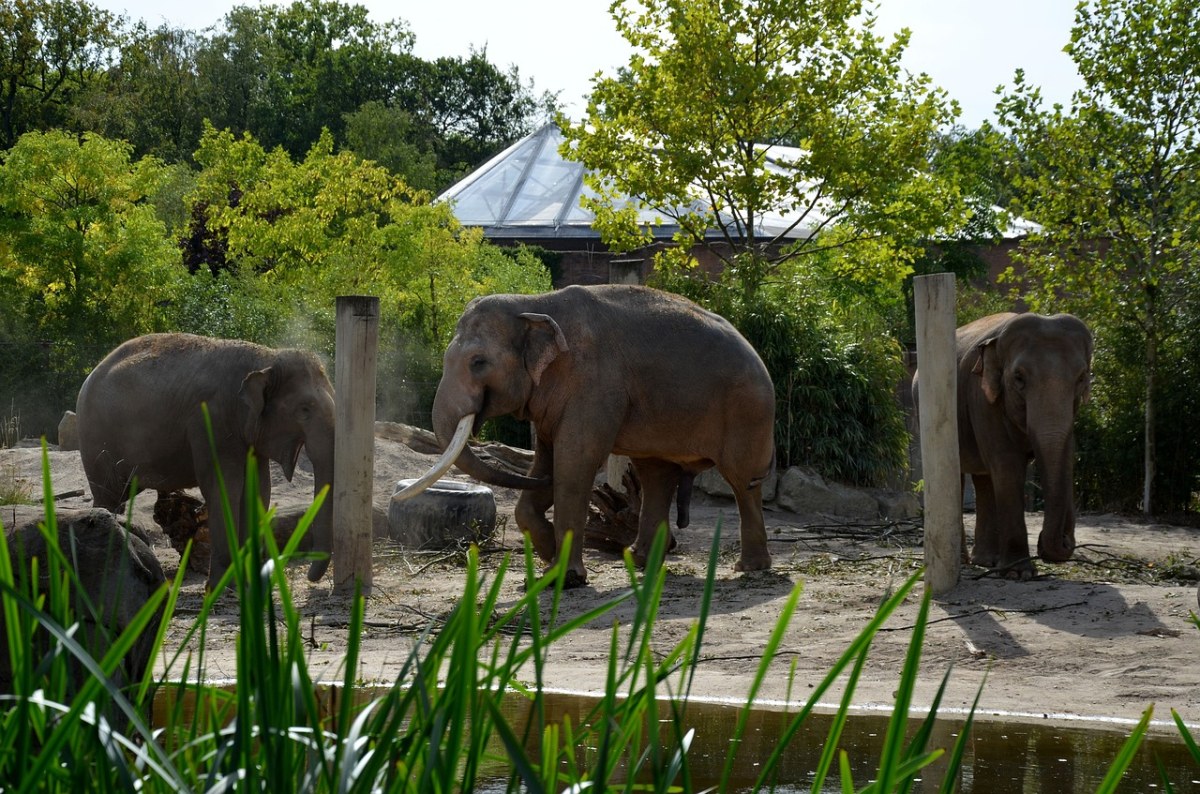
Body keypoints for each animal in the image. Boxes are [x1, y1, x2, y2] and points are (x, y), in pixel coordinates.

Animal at [76, 333, 336, 587]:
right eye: (304, 409)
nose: (310, 577)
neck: (266, 358)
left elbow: (259, 489)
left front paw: (250, 582)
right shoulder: (211, 422)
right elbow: (224, 488)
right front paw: (223, 586)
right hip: (96, 440)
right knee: (108, 496)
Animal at [388, 283, 772, 587]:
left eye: (478, 362)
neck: (534, 303)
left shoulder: (593, 383)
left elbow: (575, 461)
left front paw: (564, 577)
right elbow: (546, 462)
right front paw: (547, 555)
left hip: (748, 410)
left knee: (742, 481)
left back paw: (749, 568)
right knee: (656, 474)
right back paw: (641, 561)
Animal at [912, 314, 1094, 582]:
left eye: (1081, 377)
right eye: (1018, 377)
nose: (1063, 540)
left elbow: (1064, 454)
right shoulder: (983, 400)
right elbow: (1007, 468)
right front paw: (1019, 573)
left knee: (984, 479)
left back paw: (987, 561)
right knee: (960, 476)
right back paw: (966, 561)